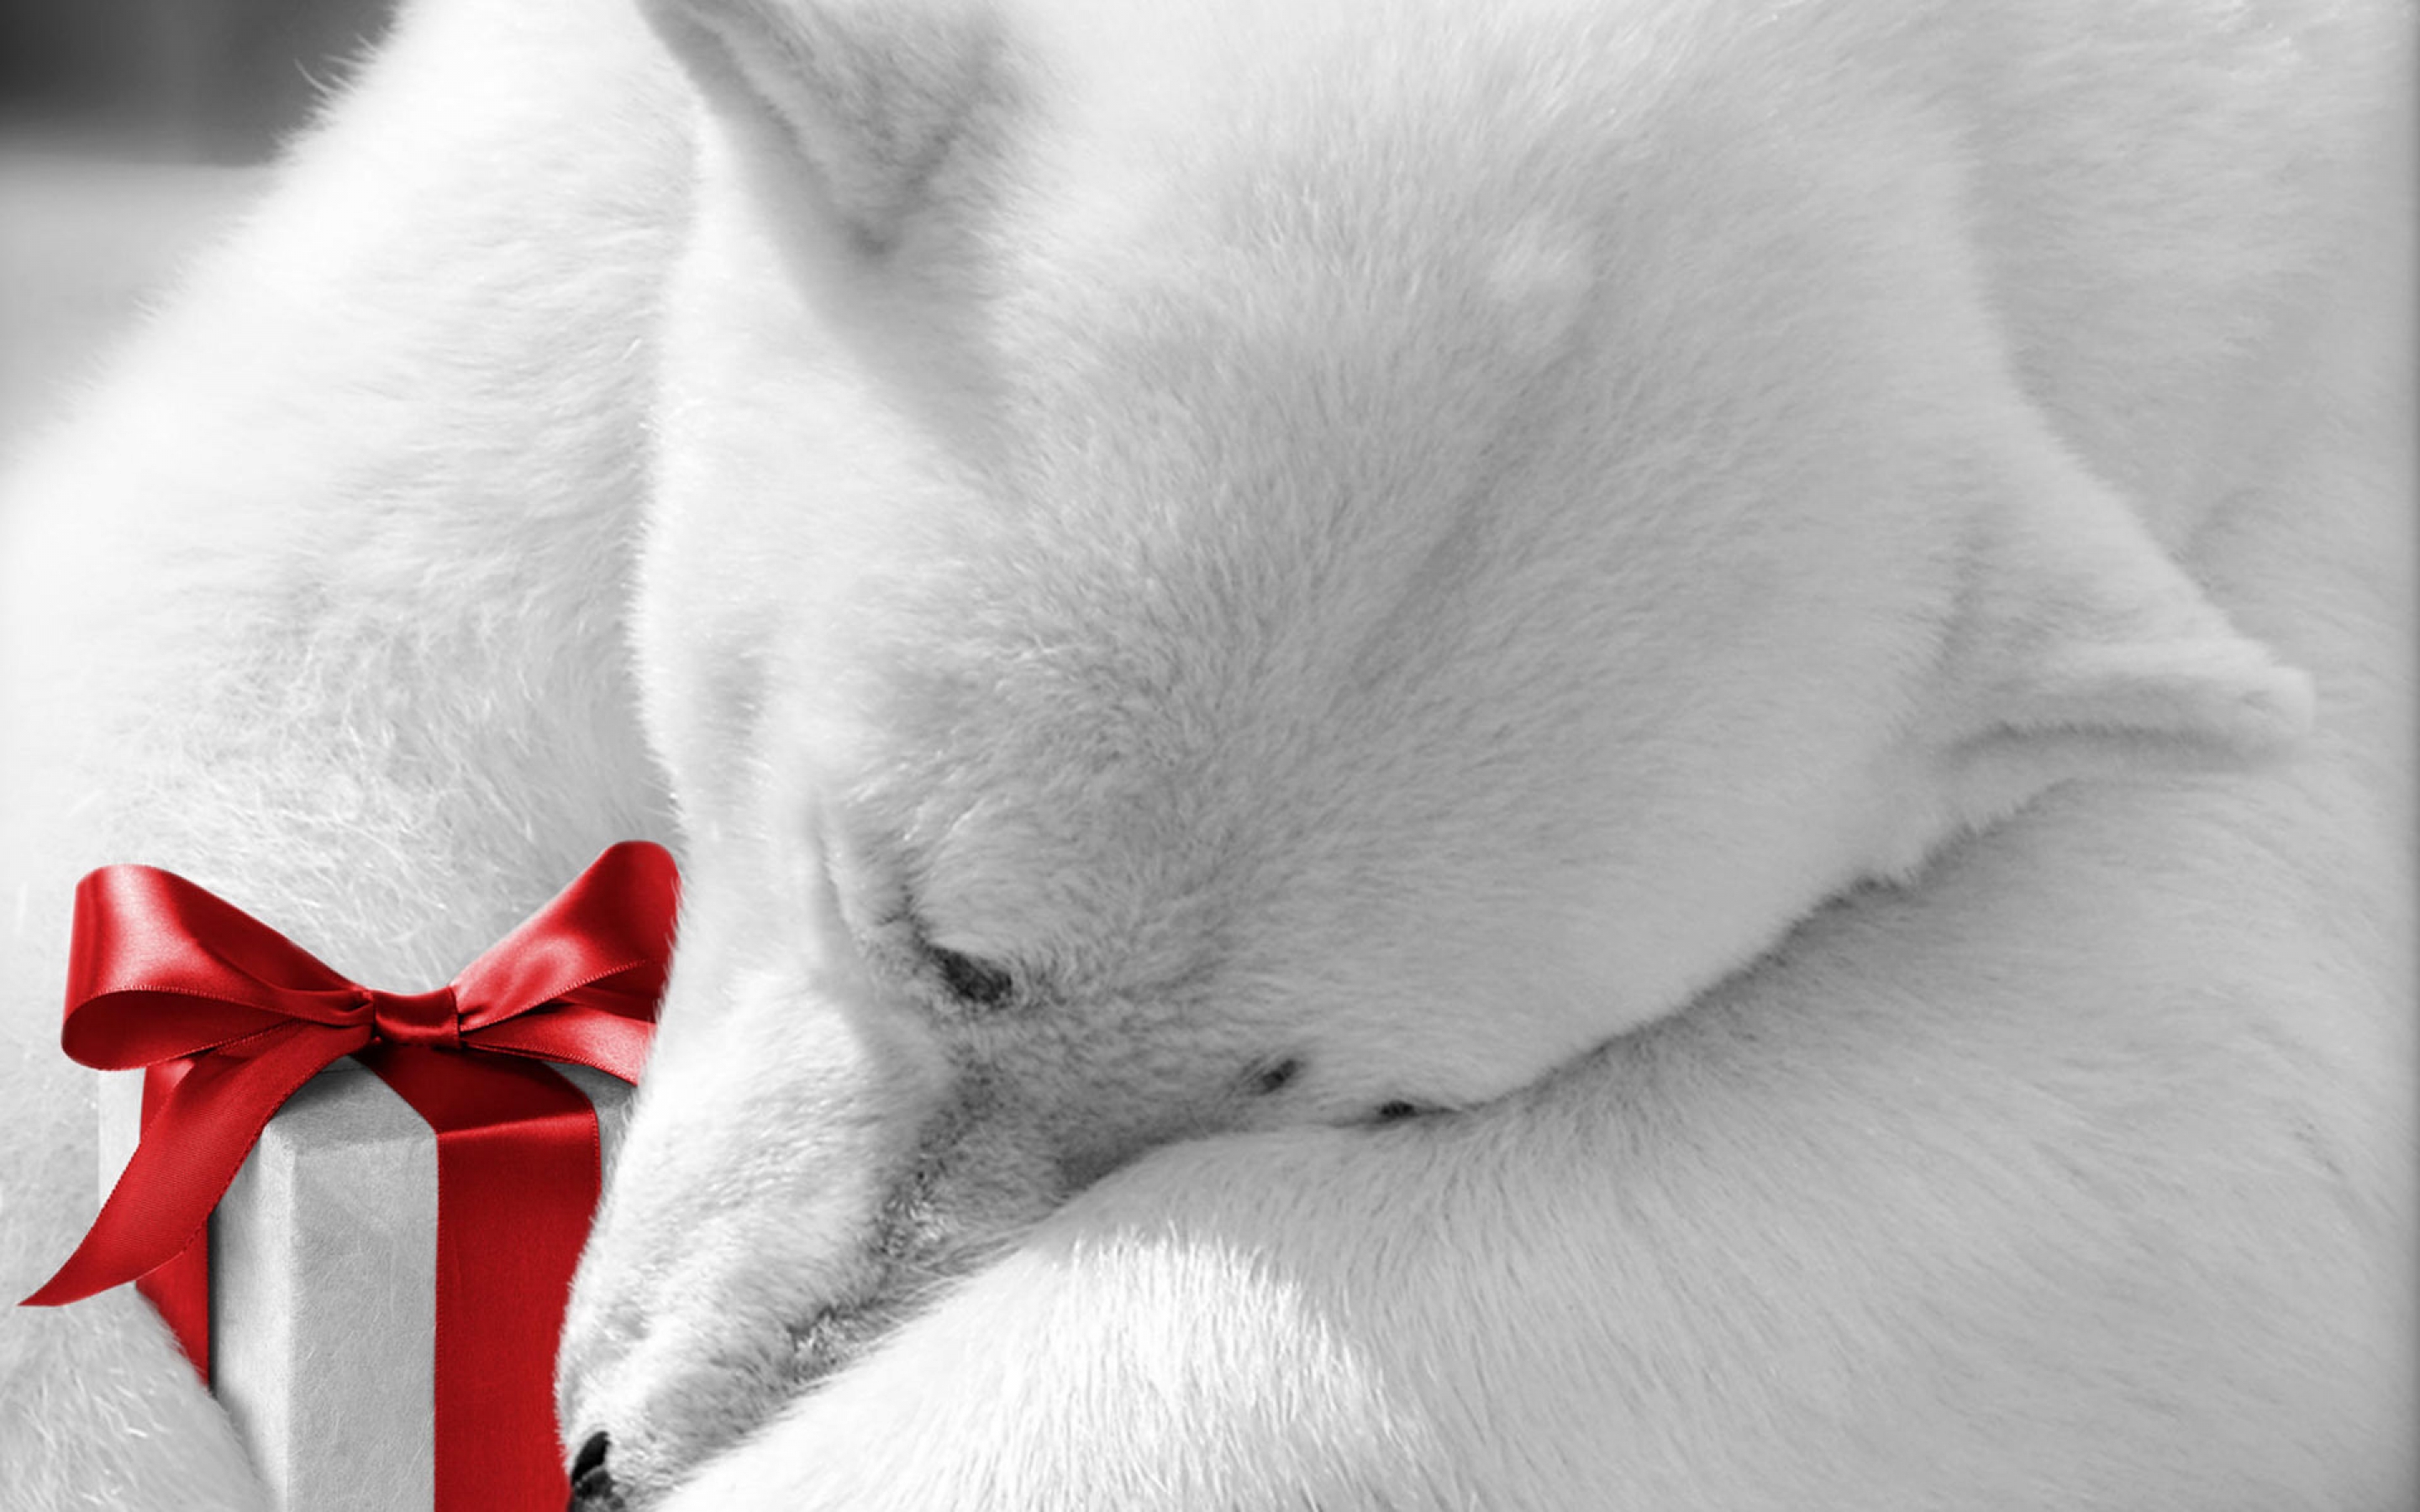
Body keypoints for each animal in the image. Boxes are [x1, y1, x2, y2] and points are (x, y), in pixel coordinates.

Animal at [1, 0, 2410, 1508]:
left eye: (1386, 1102)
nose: (632, 1453)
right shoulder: (568, 140)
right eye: (925, 927)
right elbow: (271, 633)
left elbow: (2143, 1117)